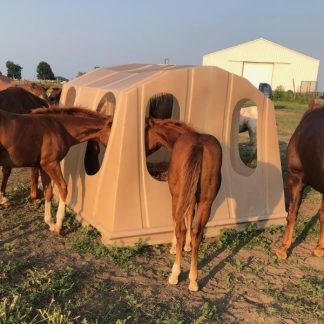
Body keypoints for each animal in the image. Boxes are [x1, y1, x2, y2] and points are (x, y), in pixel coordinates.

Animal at [146, 119, 221, 292]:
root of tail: (199, 145)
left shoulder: (176, 196)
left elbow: (176, 220)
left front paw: (175, 247)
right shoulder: (192, 197)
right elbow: (190, 216)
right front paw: (187, 245)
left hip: (178, 195)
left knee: (180, 227)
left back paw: (175, 274)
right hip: (206, 202)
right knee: (197, 232)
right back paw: (193, 280)